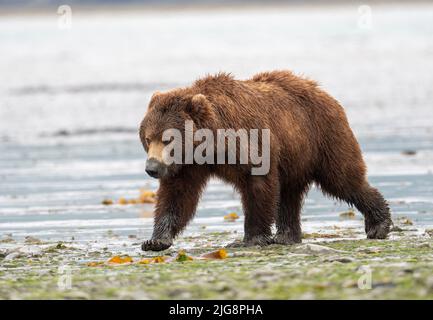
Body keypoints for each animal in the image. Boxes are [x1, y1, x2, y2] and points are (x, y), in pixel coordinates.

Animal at [138, 69, 392, 250]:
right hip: (295, 157)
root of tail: (322, 91)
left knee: (343, 179)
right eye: (148, 138)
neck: (211, 145)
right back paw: (287, 235)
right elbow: (177, 196)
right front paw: (155, 240)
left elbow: (258, 186)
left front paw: (251, 238)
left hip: (324, 136)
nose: (152, 168)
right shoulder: (187, 165)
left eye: (168, 139)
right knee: (289, 194)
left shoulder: (250, 141)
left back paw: (378, 224)